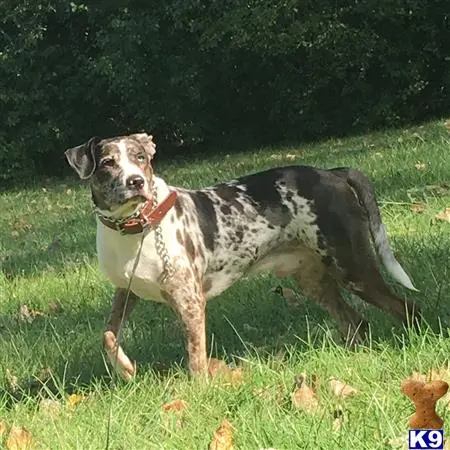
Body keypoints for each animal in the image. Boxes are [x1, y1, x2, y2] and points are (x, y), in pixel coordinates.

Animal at [65, 133, 420, 380]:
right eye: (108, 162)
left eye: (140, 158)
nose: (135, 181)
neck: (135, 227)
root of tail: (332, 173)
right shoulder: (127, 291)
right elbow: (108, 335)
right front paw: (125, 368)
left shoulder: (190, 302)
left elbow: (196, 359)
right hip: (313, 279)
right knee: (356, 321)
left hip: (352, 268)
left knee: (406, 307)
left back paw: (411, 342)